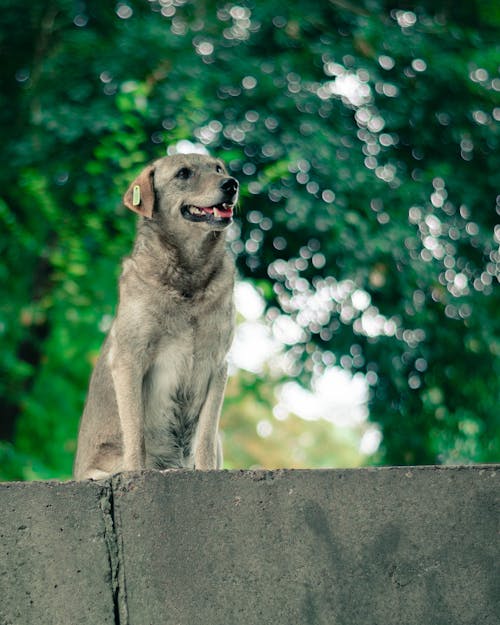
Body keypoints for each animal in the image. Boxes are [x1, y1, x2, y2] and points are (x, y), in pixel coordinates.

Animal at [73, 154, 239, 480]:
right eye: (183, 174)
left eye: (218, 169)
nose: (231, 184)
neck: (188, 277)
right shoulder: (129, 359)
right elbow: (135, 433)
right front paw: (137, 472)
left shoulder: (218, 363)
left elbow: (205, 437)